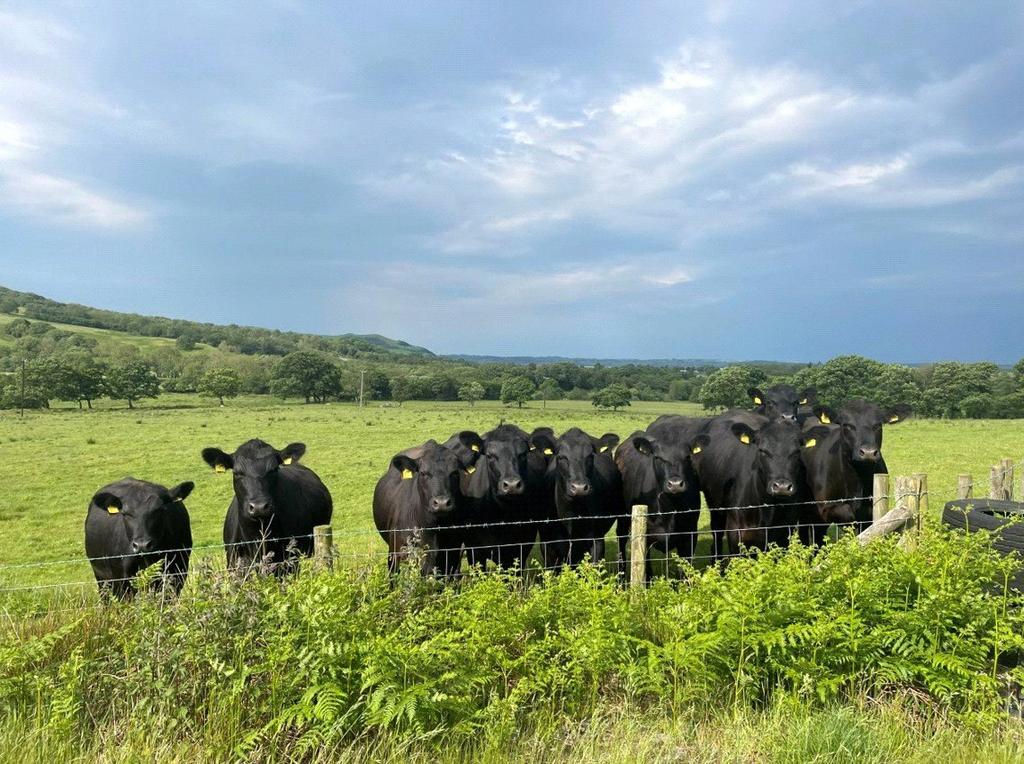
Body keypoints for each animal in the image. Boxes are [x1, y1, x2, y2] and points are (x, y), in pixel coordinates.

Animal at [615, 416, 709, 579]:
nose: (675, 484)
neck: (669, 507)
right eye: (658, 457)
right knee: (621, 540)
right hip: (622, 516)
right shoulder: (645, 537)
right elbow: (647, 571)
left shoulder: (690, 534)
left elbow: (684, 573)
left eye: (687, 457)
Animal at [696, 411, 830, 560]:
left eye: (797, 451)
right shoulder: (736, 532)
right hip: (714, 504)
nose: (782, 487)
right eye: (762, 450)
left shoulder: (784, 532)